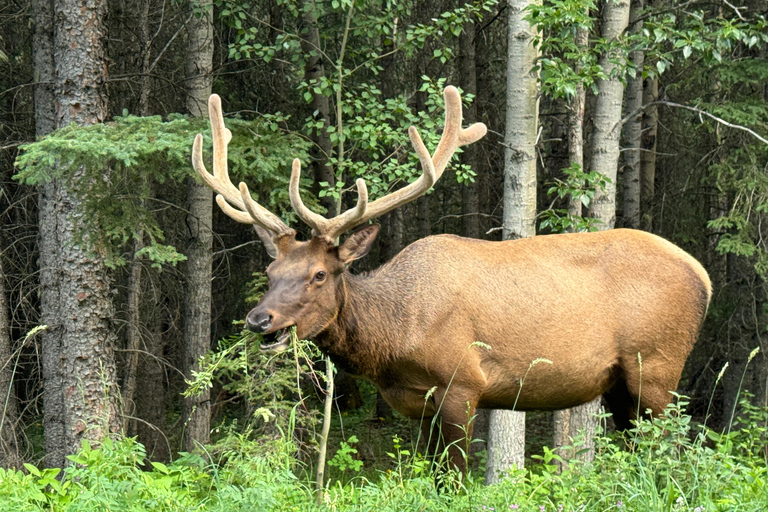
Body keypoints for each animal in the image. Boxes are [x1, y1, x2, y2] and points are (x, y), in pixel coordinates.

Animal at [192, 87, 712, 472]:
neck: (395, 337)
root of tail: (704, 277)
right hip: (621, 385)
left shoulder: (463, 383)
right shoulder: (418, 403)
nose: (259, 319)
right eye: (270, 271)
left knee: (677, 451)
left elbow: (457, 479)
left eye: (319, 274)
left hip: (658, 365)